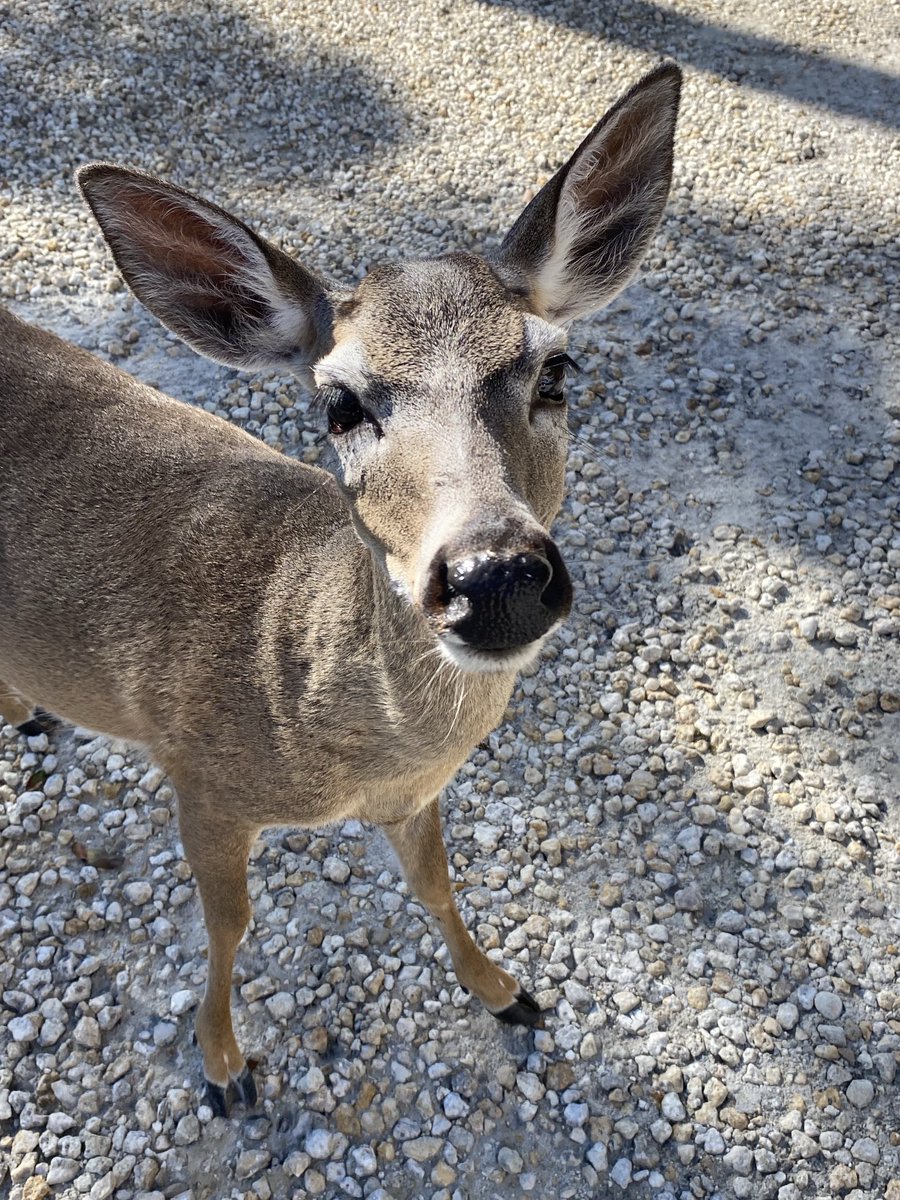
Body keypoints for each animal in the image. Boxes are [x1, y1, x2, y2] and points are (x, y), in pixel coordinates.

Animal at [0, 64, 681, 1115]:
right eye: (340, 403)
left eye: (556, 369)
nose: (495, 575)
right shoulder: (198, 777)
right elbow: (230, 925)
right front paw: (225, 1067)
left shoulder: (412, 795)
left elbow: (437, 886)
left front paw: (507, 992)